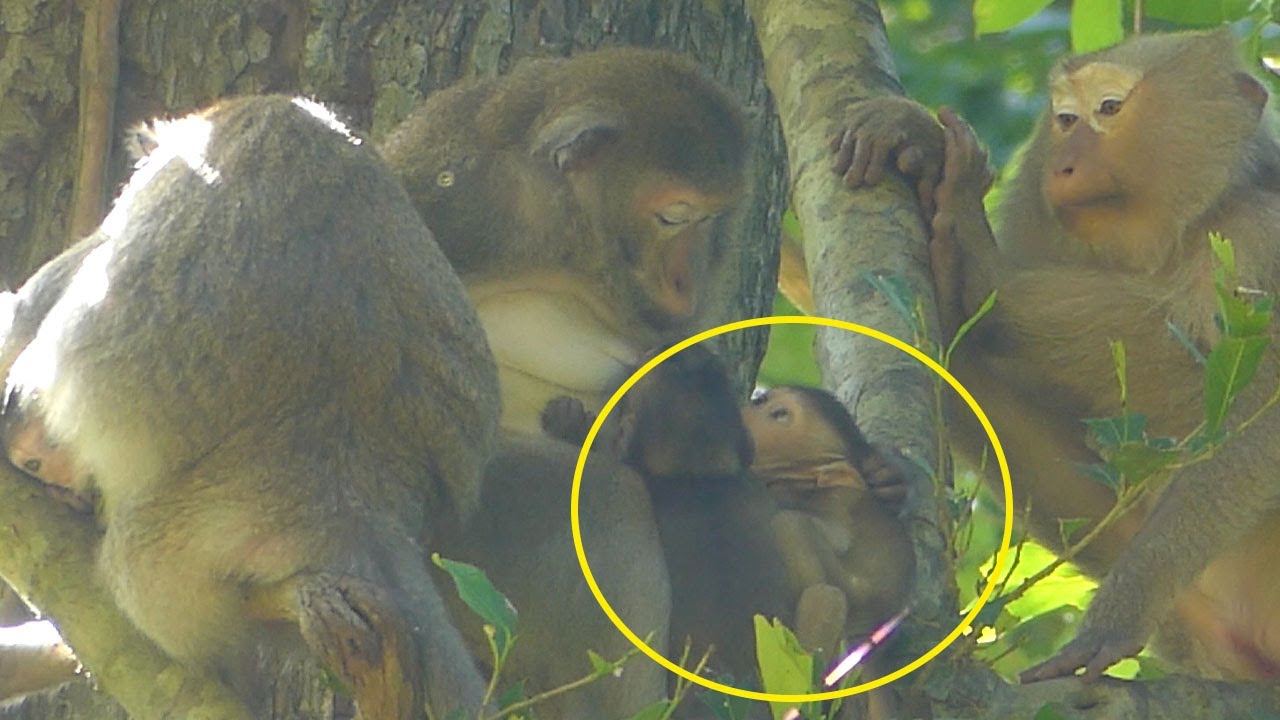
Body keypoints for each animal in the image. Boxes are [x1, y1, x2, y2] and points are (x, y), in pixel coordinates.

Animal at [832, 29, 1280, 683]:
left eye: (1110, 109)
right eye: (1065, 119)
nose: (1062, 165)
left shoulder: (1260, 236)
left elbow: (1261, 413)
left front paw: (1125, 606)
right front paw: (921, 141)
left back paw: (979, 276)